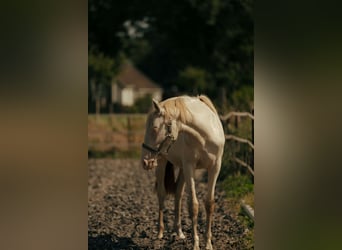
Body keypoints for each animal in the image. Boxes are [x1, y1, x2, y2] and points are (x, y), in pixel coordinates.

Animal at [140, 94, 226, 249]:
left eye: (155, 128)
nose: (144, 161)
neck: (205, 136)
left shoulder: (215, 168)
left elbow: (209, 204)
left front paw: (208, 244)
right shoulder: (189, 167)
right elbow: (193, 206)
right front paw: (195, 244)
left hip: (181, 169)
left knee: (178, 194)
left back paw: (179, 232)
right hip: (162, 163)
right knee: (162, 194)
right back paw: (160, 232)